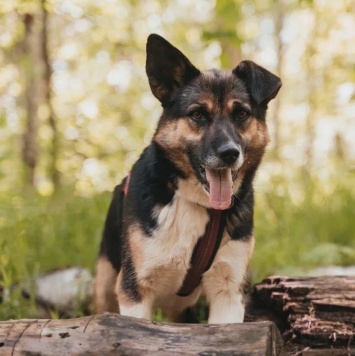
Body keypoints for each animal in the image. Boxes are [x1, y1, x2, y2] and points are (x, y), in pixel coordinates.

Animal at [94, 33, 280, 322]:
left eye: (241, 114)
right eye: (197, 114)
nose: (230, 153)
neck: (198, 204)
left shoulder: (228, 291)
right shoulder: (136, 291)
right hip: (105, 284)